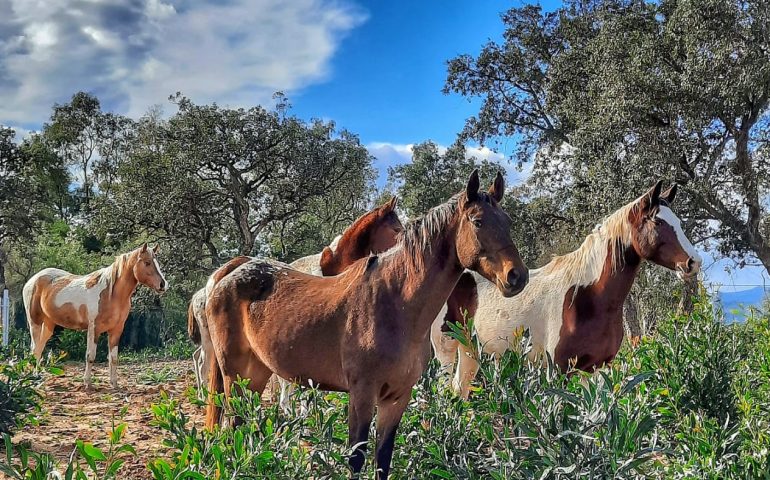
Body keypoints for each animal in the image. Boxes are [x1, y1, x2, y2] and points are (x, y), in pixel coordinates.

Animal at [24, 246, 166, 388]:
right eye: (147, 262)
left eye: (157, 262)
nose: (163, 284)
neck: (110, 294)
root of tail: (32, 280)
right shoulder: (94, 329)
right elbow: (90, 356)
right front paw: (87, 383)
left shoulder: (116, 330)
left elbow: (113, 358)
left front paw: (114, 383)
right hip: (35, 322)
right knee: (34, 349)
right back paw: (32, 378)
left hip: (48, 325)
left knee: (39, 348)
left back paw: (36, 377)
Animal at [428, 180, 700, 398]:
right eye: (657, 221)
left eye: (678, 221)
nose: (693, 262)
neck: (586, 297)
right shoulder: (558, 369)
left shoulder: (597, 368)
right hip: (445, 350)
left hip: (470, 351)